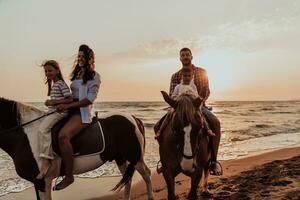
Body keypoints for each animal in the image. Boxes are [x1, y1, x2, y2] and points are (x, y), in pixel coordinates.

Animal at [0, 98, 154, 200]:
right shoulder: (41, 182)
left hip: (135, 157)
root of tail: (134, 119)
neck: (27, 134)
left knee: (146, 174)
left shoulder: (42, 181)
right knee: (127, 179)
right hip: (120, 158)